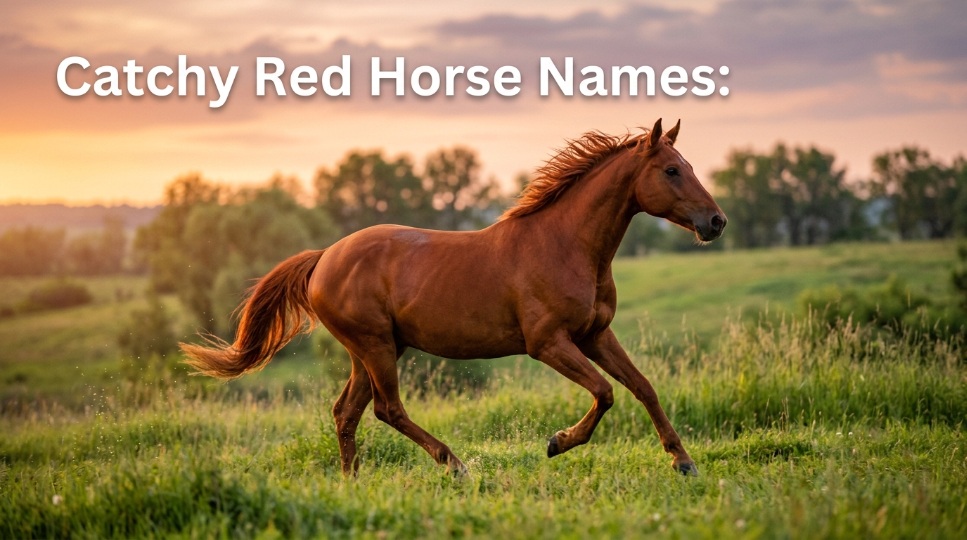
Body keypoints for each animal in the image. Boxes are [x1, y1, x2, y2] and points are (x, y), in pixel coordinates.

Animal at [181, 118, 727, 477]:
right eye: (672, 171)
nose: (716, 221)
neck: (566, 245)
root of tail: (324, 258)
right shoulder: (548, 343)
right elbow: (605, 392)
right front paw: (557, 443)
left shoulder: (595, 335)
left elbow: (643, 387)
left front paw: (683, 462)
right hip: (376, 346)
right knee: (387, 410)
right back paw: (455, 464)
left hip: (372, 349)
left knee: (346, 412)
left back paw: (353, 481)